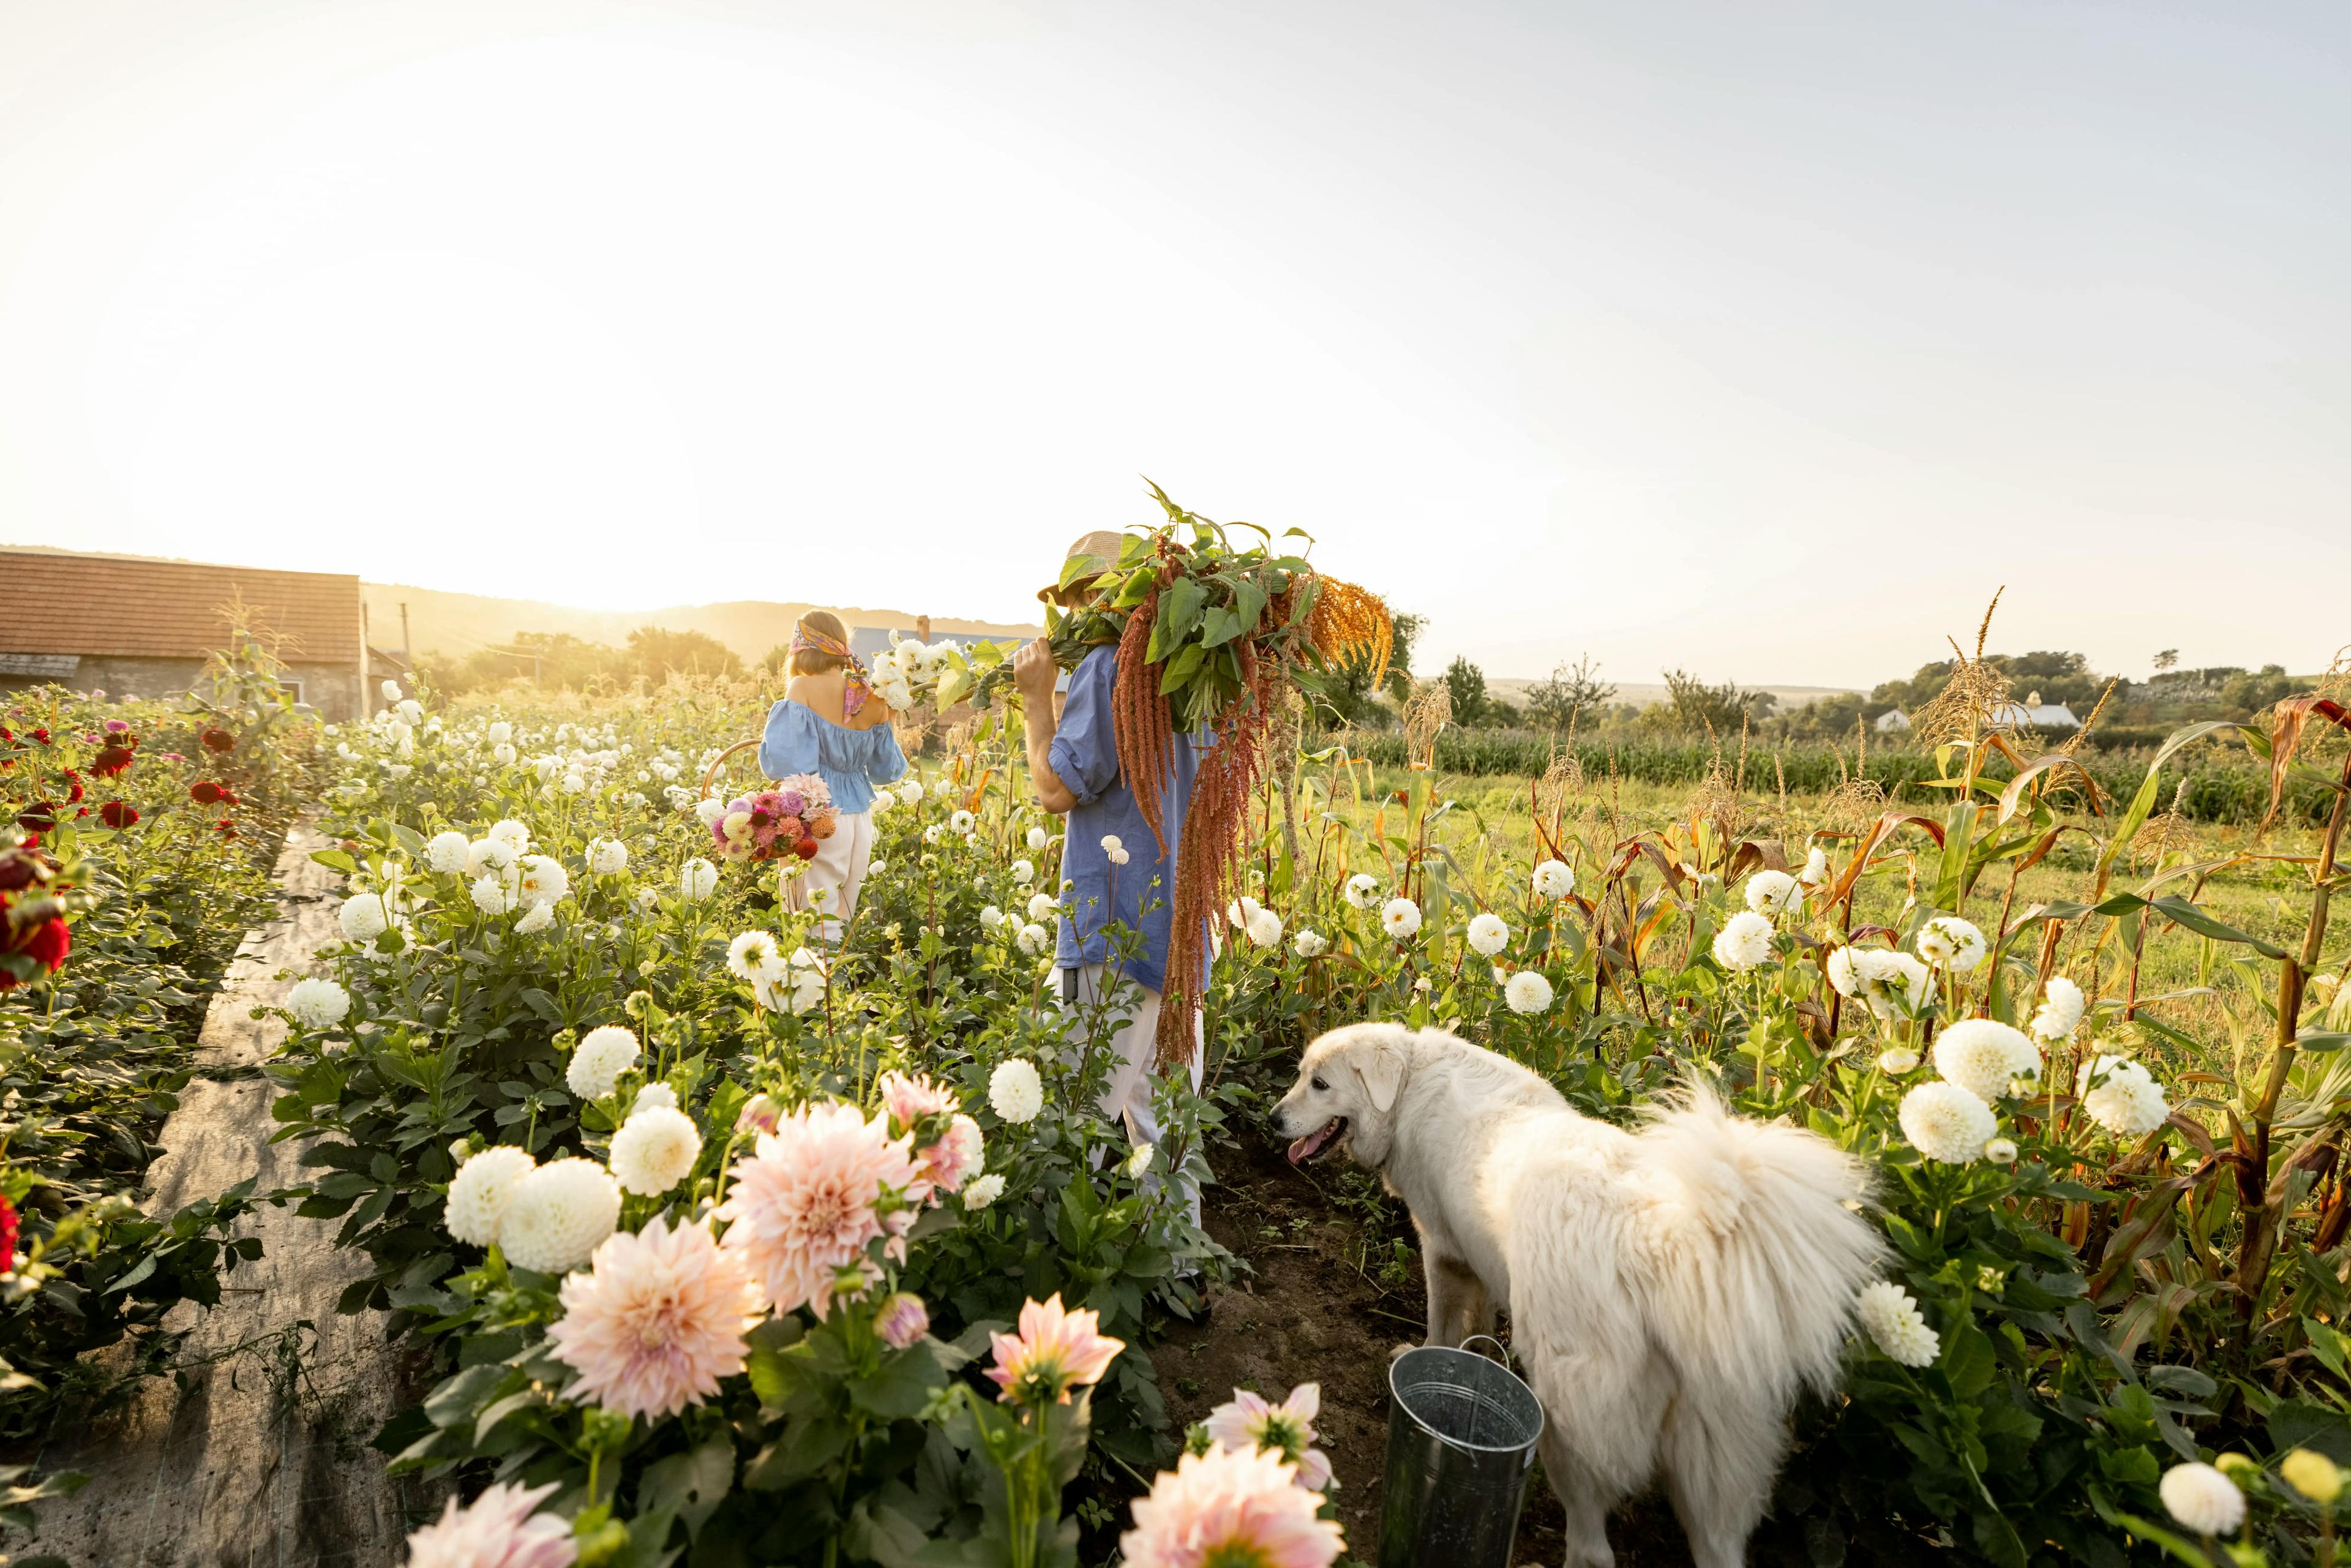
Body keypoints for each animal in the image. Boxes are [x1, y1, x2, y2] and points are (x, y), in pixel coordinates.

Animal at [1278, 1025, 1881, 1561]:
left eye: (1320, 1083)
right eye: (1301, 1074)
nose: (1272, 1117)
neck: (1407, 1084)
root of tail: (1658, 1242)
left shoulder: (1443, 1252)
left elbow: (1441, 1324)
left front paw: (1418, 1356)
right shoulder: (1483, 1260)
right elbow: (1480, 1323)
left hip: (1569, 1426)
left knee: (1592, 1547)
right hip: (1714, 1470)